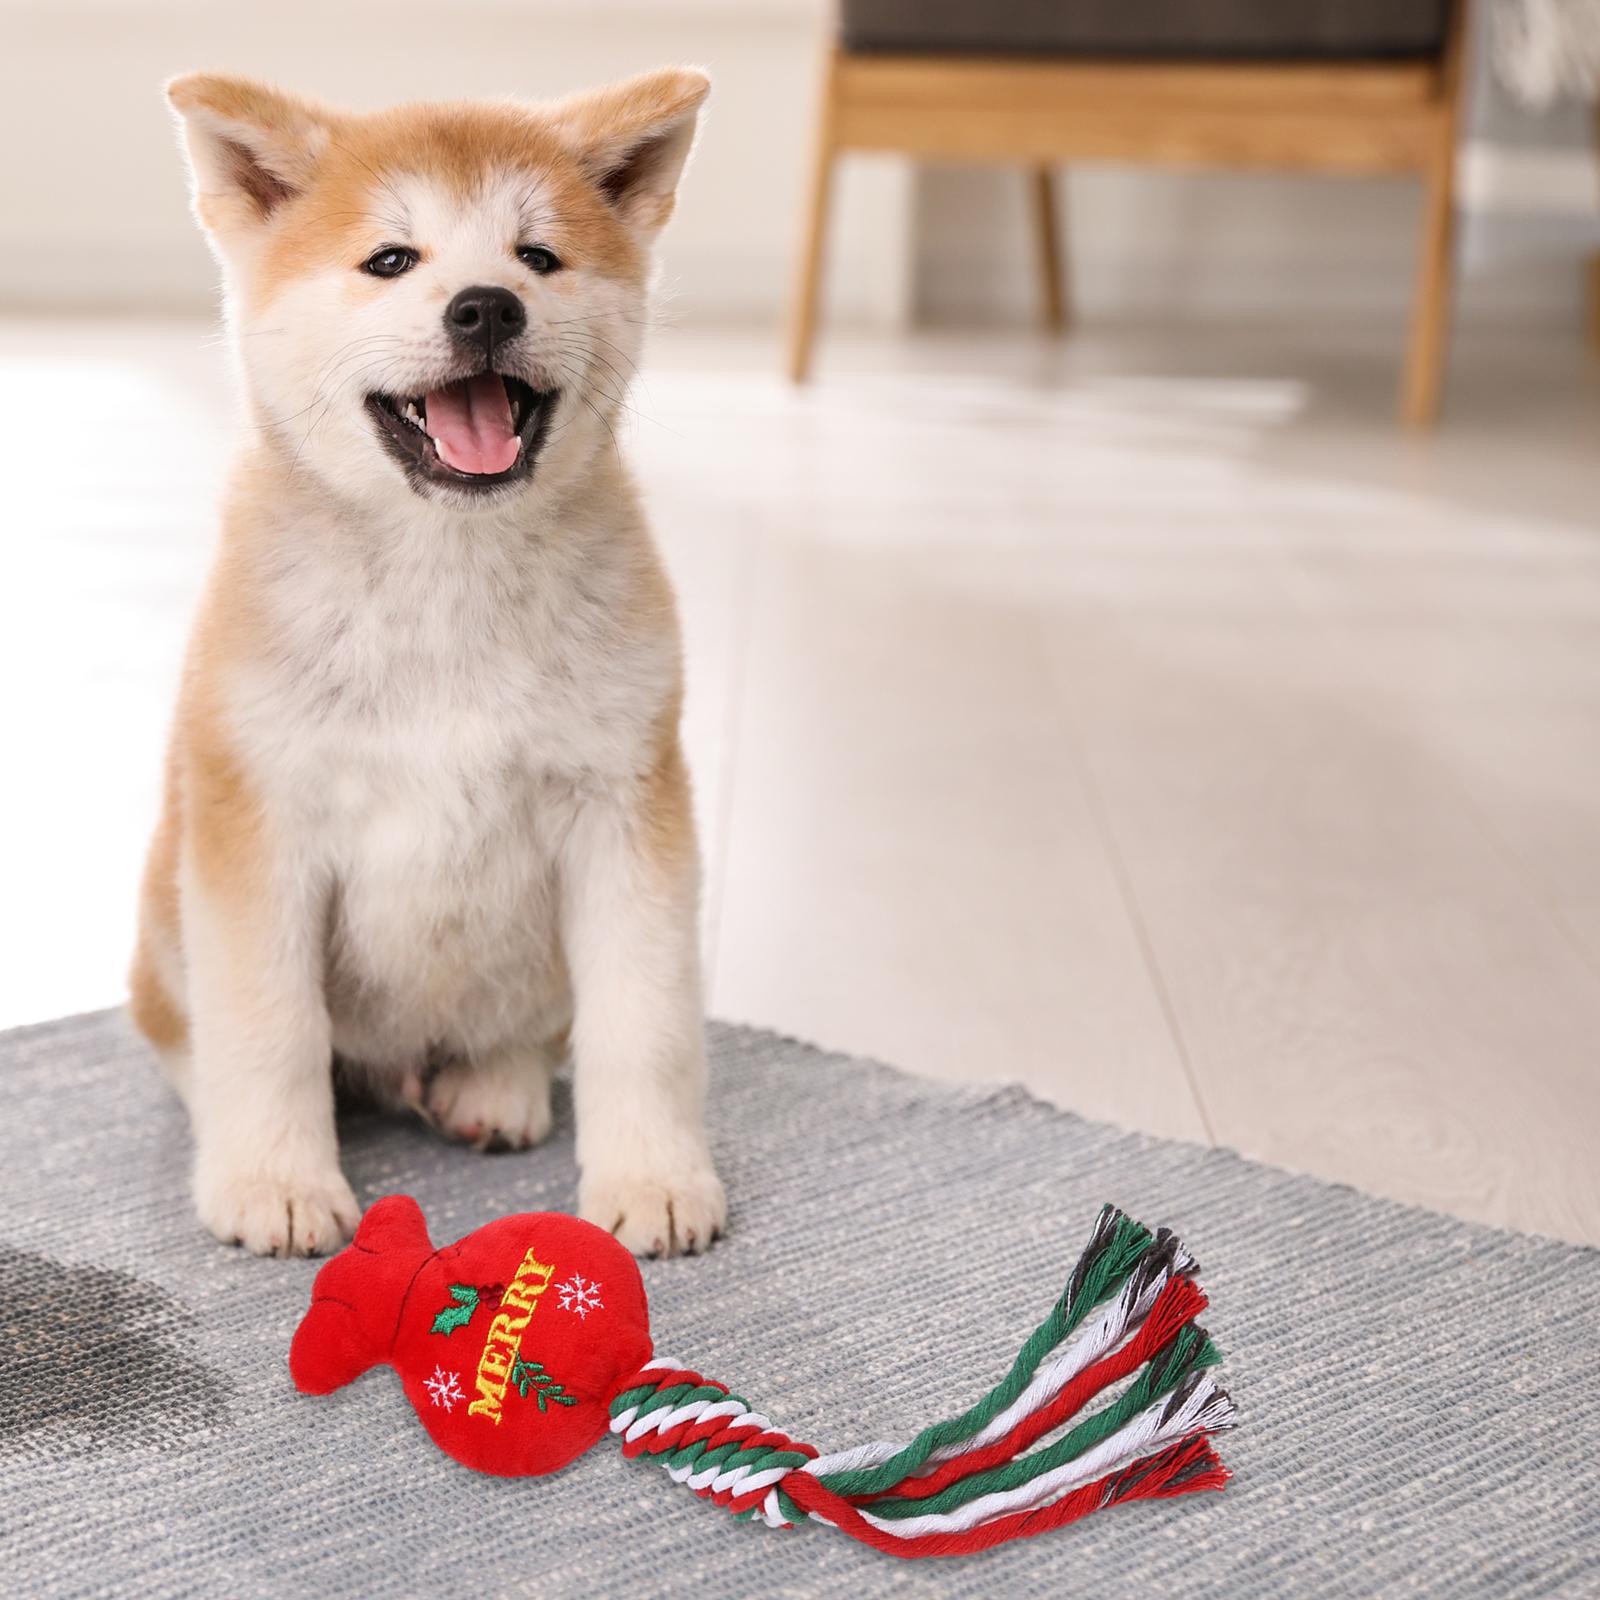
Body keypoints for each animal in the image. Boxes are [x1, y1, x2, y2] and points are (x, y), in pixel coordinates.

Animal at [128, 68, 725, 1260]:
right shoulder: (260, 816)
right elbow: (267, 1026)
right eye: (392, 260)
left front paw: (654, 1176)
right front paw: (275, 1181)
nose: (486, 305)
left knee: (525, 1028)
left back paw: (494, 1087)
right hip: (165, 918)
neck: (446, 572)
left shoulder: (624, 805)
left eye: (536, 255)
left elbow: (644, 1020)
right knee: (199, 1038)